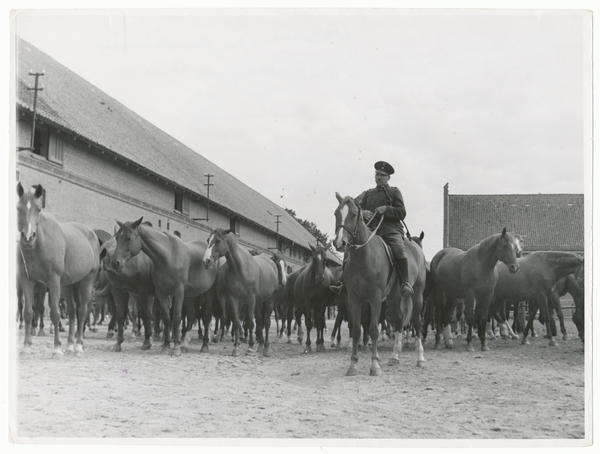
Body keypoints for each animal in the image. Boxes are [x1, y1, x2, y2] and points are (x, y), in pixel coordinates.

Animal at [16, 183, 99, 356]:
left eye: (38, 209)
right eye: (18, 208)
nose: (28, 238)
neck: (38, 246)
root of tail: (92, 234)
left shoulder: (52, 281)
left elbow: (54, 313)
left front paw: (56, 348)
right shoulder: (27, 280)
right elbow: (28, 312)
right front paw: (26, 346)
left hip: (87, 280)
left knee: (82, 311)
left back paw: (78, 346)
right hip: (68, 285)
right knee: (73, 312)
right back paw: (70, 345)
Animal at [111, 218, 217, 356]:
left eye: (128, 238)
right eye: (117, 237)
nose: (115, 263)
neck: (169, 257)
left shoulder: (178, 292)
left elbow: (176, 318)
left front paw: (175, 347)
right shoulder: (161, 293)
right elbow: (166, 317)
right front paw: (166, 345)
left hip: (208, 293)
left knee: (206, 316)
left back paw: (204, 344)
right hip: (190, 295)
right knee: (192, 315)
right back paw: (185, 344)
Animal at [332, 193, 426, 374]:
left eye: (353, 214)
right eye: (336, 213)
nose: (340, 243)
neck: (364, 256)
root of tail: (416, 249)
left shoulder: (374, 298)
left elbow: (374, 329)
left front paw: (374, 365)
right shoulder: (354, 299)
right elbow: (356, 329)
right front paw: (353, 364)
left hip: (417, 296)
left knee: (417, 323)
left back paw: (420, 358)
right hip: (393, 298)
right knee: (399, 320)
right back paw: (394, 356)